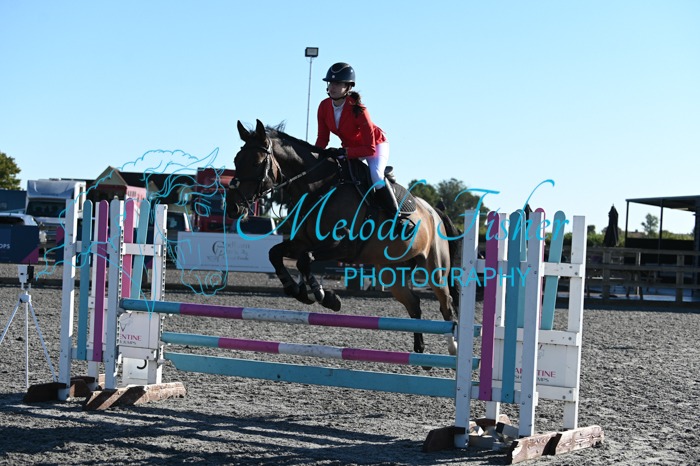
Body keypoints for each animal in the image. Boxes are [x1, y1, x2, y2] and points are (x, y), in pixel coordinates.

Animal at [226, 119, 461, 356]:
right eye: (237, 160)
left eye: (256, 163)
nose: (233, 208)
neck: (319, 189)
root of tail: (433, 211)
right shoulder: (302, 242)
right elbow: (275, 254)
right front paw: (297, 291)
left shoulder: (343, 246)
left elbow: (304, 260)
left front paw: (325, 296)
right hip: (390, 271)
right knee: (414, 304)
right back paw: (419, 349)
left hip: (435, 268)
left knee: (446, 303)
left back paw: (453, 347)